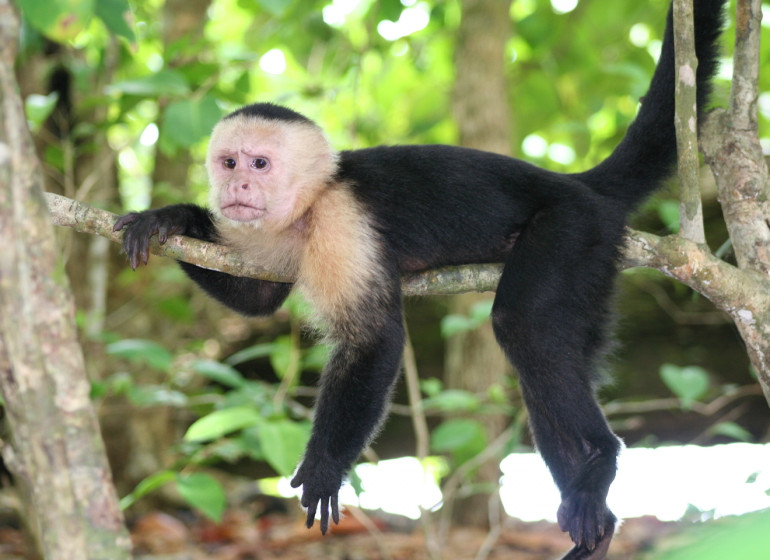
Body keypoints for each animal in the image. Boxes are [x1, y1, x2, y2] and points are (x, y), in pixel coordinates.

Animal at [112, 2, 720, 556]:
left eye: (260, 164)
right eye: (229, 162)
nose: (237, 187)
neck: (309, 205)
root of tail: (577, 185)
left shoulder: (343, 221)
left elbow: (374, 338)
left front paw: (325, 466)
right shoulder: (269, 236)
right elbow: (257, 300)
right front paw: (171, 218)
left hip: (573, 228)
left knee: (523, 325)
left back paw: (600, 459)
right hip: (595, 266)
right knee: (554, 356)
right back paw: (592, 514)